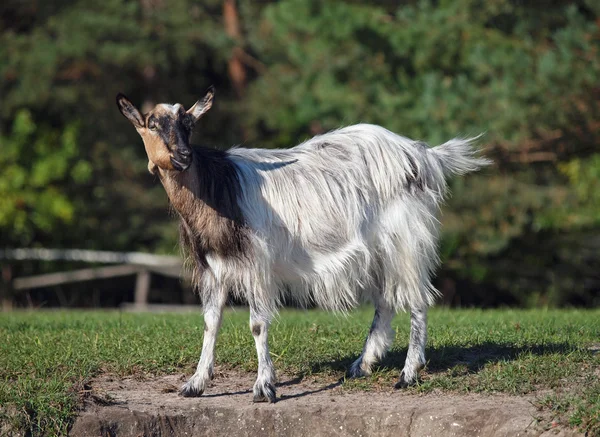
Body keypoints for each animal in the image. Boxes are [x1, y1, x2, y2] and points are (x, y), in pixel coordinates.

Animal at [116, 88, 488, 402]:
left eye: (189, 124)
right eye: (152, 124)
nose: (183, 156)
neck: (218, 188)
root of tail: (421, 154)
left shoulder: (256, 264)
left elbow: (257, 323)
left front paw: (264, 387)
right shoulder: (213, 267)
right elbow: (210, 322)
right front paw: (195, 383)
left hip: (406, 239)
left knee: (417, 299)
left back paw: (408, 373)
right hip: (379, 251)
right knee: (385, 302)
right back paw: (362, 365)